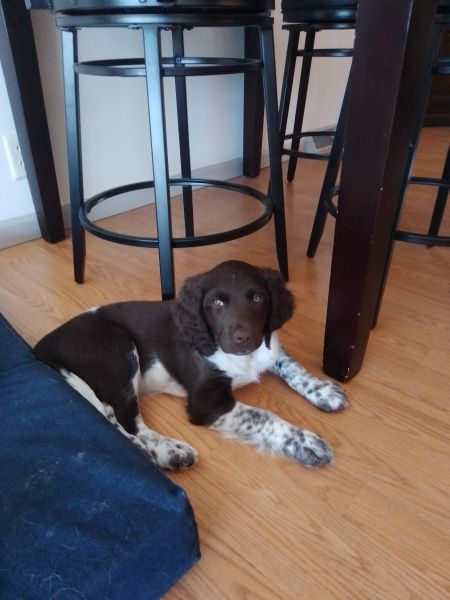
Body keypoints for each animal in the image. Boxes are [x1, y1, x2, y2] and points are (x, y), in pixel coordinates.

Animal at [34, 260, 347, 470]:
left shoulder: (267, 344)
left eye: (258, 298)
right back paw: (168, 451)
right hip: (119, 348)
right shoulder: (207, 402)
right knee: (126, 420)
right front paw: (306, 441)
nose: (243, 338)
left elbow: (290, 365)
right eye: (217, 303)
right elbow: (263, 415)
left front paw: (323, 390)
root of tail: (44, 344)